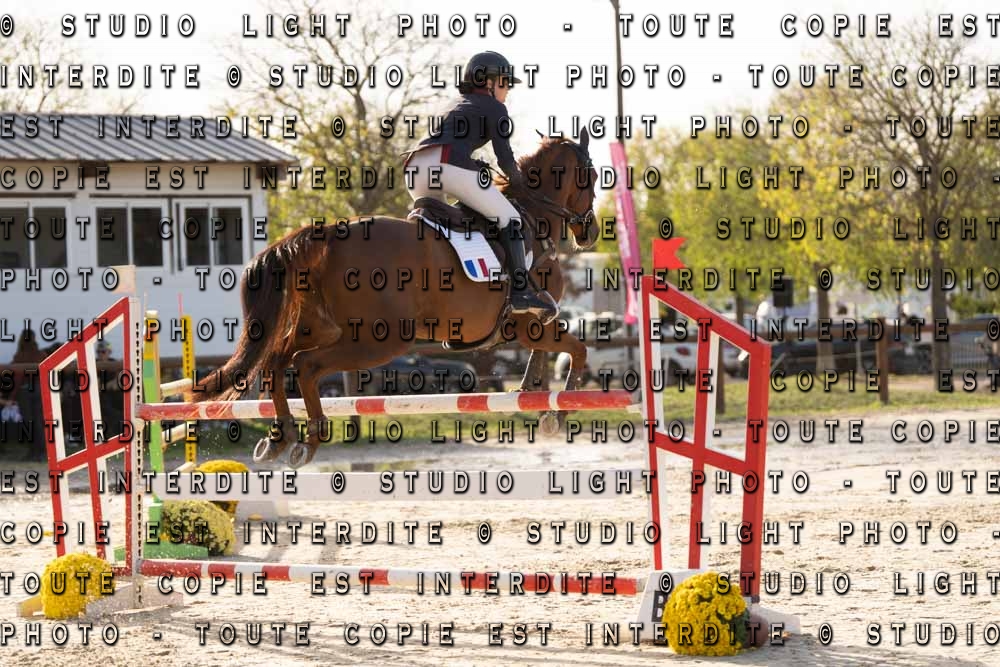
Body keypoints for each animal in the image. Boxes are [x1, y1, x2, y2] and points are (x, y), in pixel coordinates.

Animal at [194, 129, 600, 468]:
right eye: (593, 177)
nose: (592, 231)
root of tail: (328, 235)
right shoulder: (528, 325)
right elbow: (578, 351)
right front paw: (557, 415)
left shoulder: (527, 330)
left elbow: (553, 350)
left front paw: (533, 391)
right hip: (380, 338)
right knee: (305, 365)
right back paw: (309, 441)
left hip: (322, 328)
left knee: (277, 361)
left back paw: (280, 437)